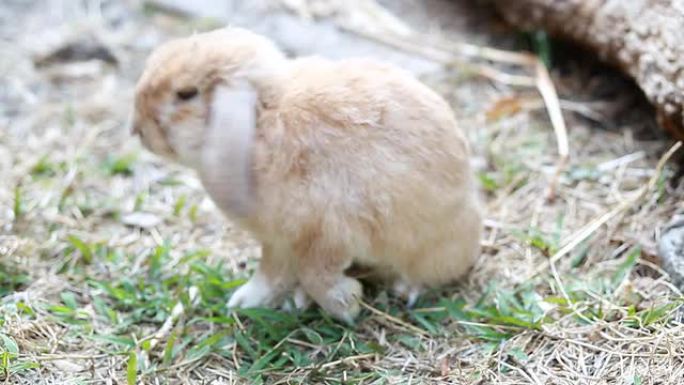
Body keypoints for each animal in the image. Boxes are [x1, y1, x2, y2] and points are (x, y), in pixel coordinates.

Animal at [132, 26, 486, 320]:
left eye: (186, 93)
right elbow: (269, 274)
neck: (260, 121)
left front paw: (347, 305)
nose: (137, 129)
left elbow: (317, 275)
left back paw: (405, 290)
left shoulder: (326, 233)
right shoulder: (277, 242)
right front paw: (244, 302)